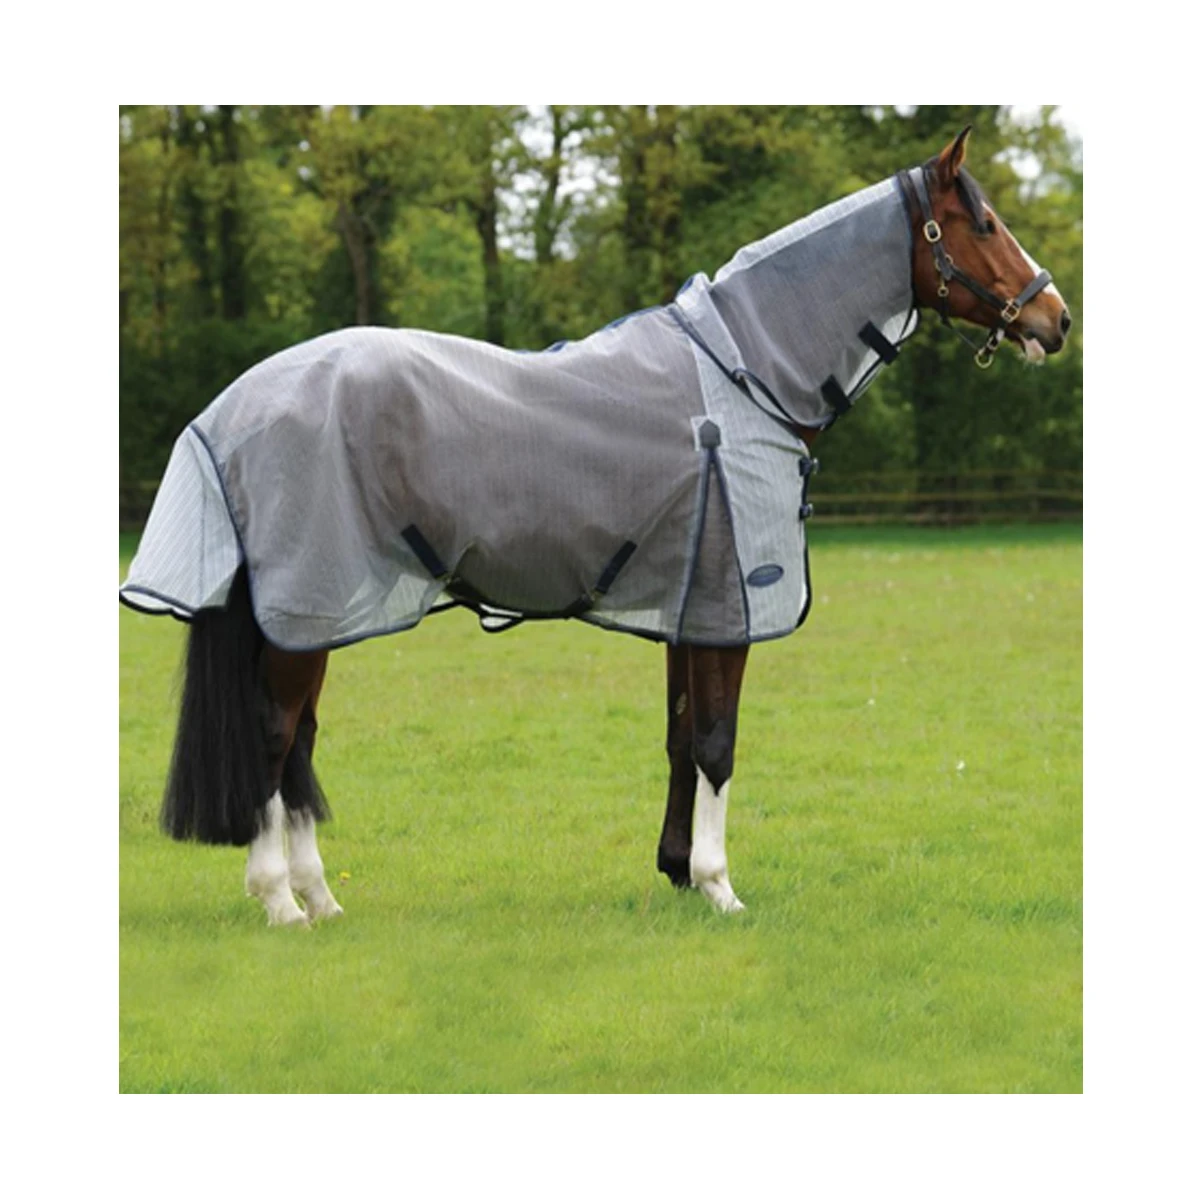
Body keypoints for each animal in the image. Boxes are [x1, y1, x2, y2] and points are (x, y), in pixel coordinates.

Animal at [120, 127, 1071, 925]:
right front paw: (721, 888)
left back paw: (321, 898)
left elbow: (682, 738)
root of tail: (233, 409)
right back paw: (281, 903)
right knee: (274, 741)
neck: (746, 373)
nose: (1054, 317)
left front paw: (679, 872)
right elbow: (718, 744)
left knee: (299, 747)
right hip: (305, 614)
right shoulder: (729, 611)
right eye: (983, 222)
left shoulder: (691, 610)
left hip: (313, 616)